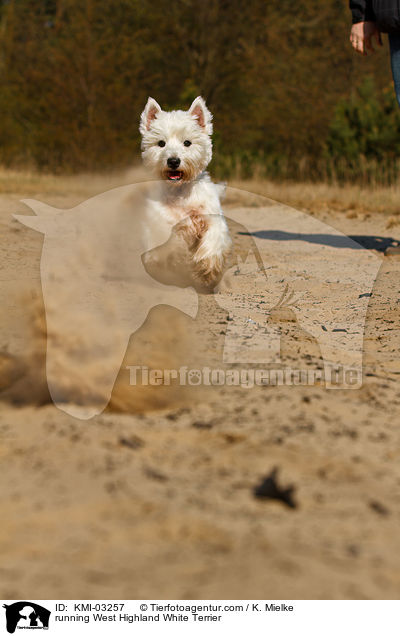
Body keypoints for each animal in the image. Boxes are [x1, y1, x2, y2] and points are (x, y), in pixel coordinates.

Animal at [139, 94, 231, 290]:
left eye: (187, 142)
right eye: (161, 143)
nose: (173, 161)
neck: (180, 192)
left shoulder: (212, 219)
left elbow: (213, 240)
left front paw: (206, 268)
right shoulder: (162, 223)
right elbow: (164, 246)